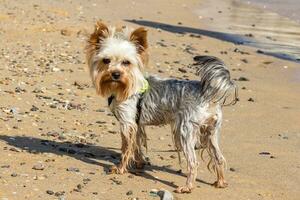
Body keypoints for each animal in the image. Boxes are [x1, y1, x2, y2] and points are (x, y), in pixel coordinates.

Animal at [84, 21, 237, 194]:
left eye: (126, 62)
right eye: (106, 60)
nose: (115, 74)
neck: (126, 85)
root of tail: (207, 94)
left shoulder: (127, 123)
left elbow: (126, 148)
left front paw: (120, 168)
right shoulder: (137, 124)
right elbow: (136, 146)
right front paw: (139, 163)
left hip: (185, 131)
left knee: (193, 162)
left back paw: (187, 186)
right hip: (210, 132)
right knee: (219, 157)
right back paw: (220, 182)